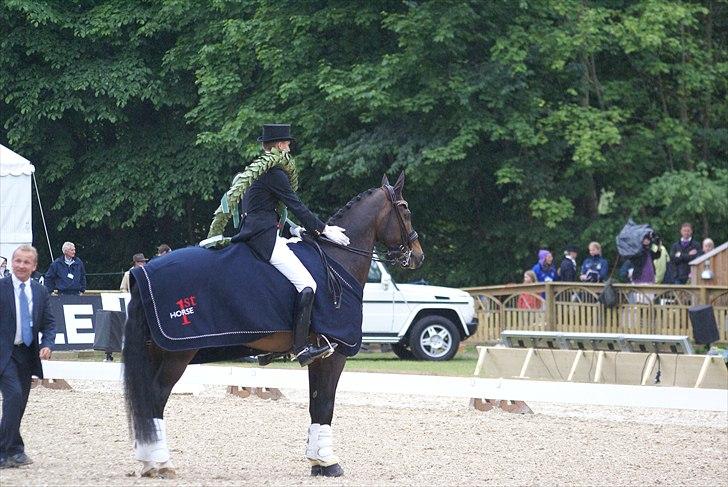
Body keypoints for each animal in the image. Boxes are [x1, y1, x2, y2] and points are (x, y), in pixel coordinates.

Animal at [122, 173, 424, 478]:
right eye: (406, 209)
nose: (417, 255)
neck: (338, 260)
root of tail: (142, 272)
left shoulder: (319, 355)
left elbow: (316, 404)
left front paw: (316, 461)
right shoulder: (335, 352)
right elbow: (326, 404)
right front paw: (329, 462)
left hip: (156, 350)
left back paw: (148, 461)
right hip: (177, 353)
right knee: (156, 397)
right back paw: (161, 463)